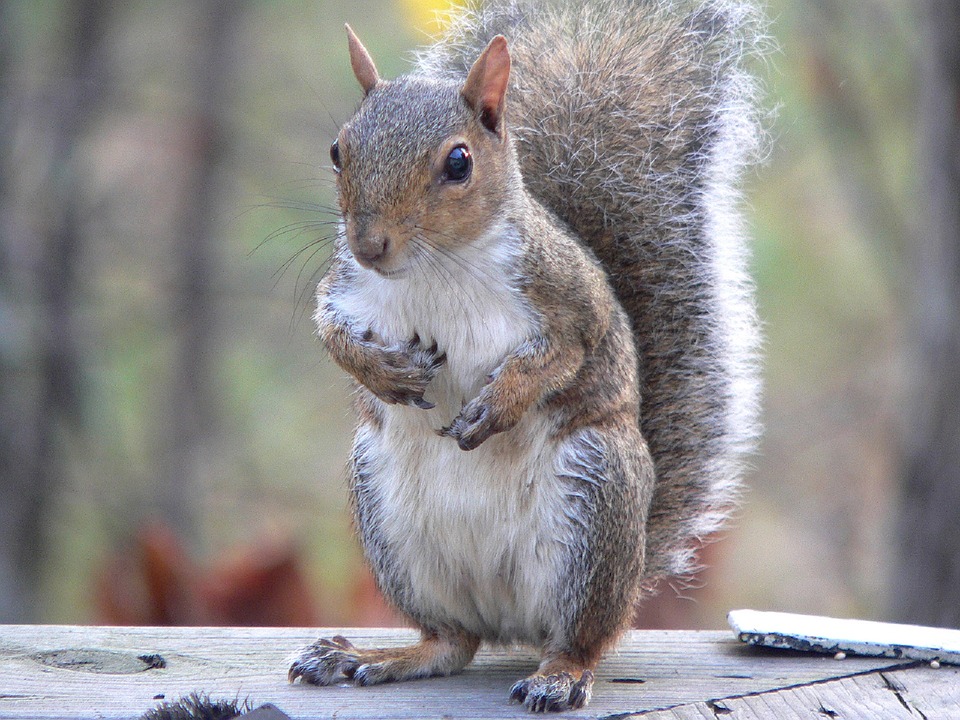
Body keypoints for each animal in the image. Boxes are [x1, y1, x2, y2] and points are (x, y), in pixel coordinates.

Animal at [288, 0, 763, 712]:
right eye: (339, 150)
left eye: (459, 163)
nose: (370, 244)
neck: (437, 269)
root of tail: (507, 619)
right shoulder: (346, 287)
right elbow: (332, 334)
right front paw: (384, 372)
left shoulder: (571, 298)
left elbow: (566, 355)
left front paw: (498, 404)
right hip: (388, 517)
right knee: (449, 643)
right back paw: (377, 656)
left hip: (595, 504)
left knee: (581, 639)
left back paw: (559, 676)